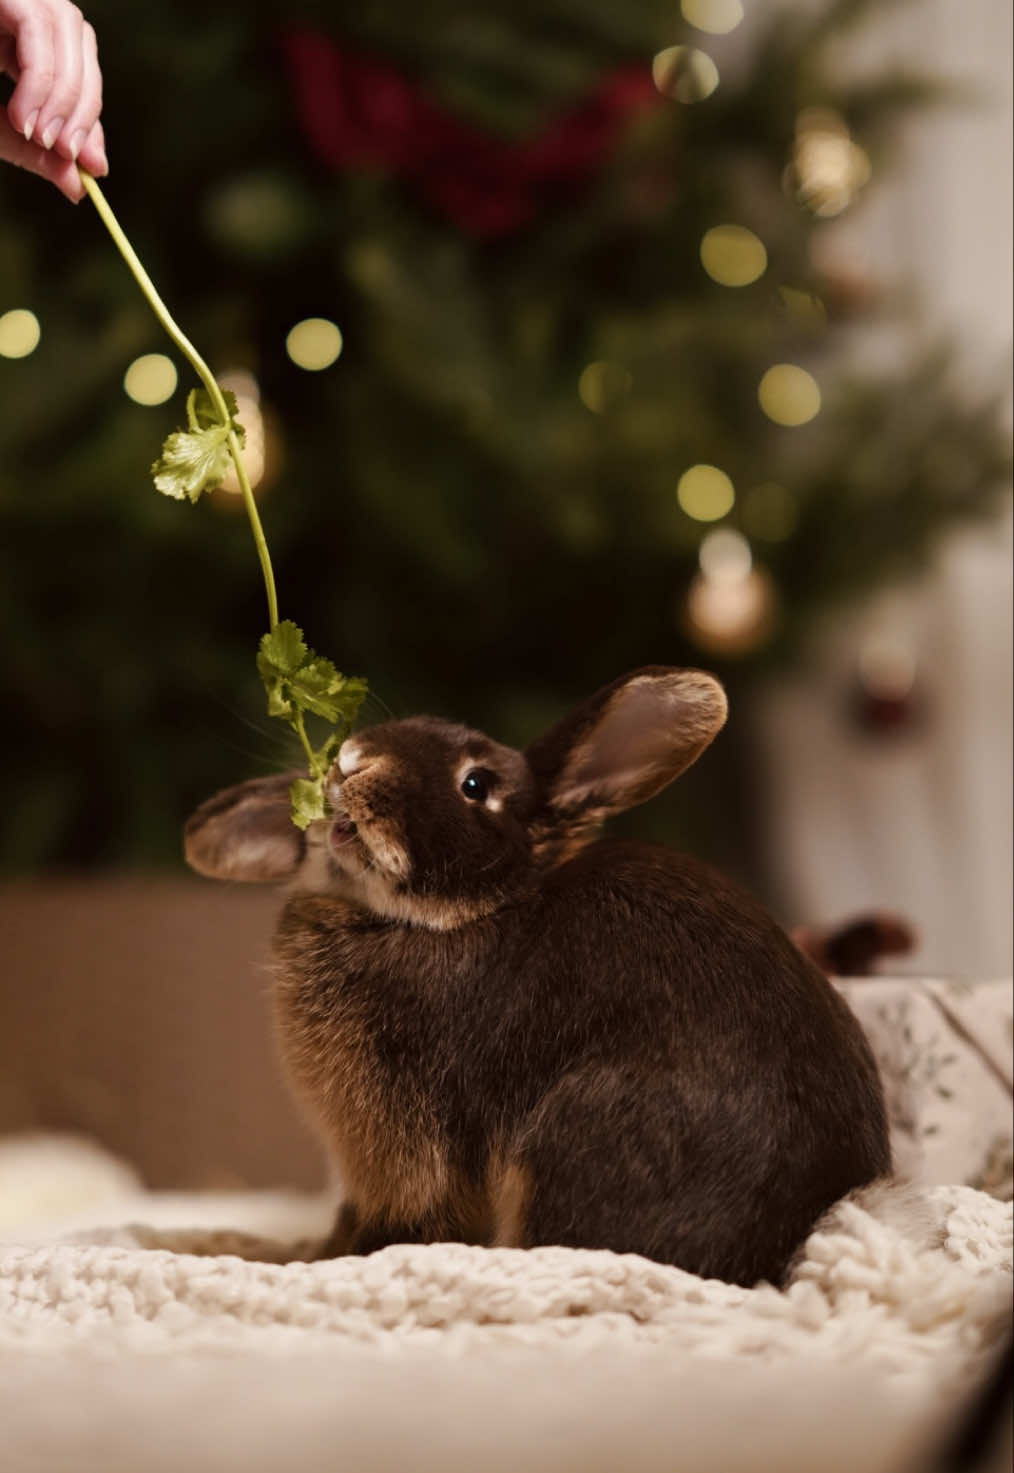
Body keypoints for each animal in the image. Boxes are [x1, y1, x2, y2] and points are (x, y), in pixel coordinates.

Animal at [184, 666, 891, 1286]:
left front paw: (307, 1265)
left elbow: (390, 1225)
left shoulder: (406, 1147)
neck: (464, 915)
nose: (352, 760)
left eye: (475, 784)